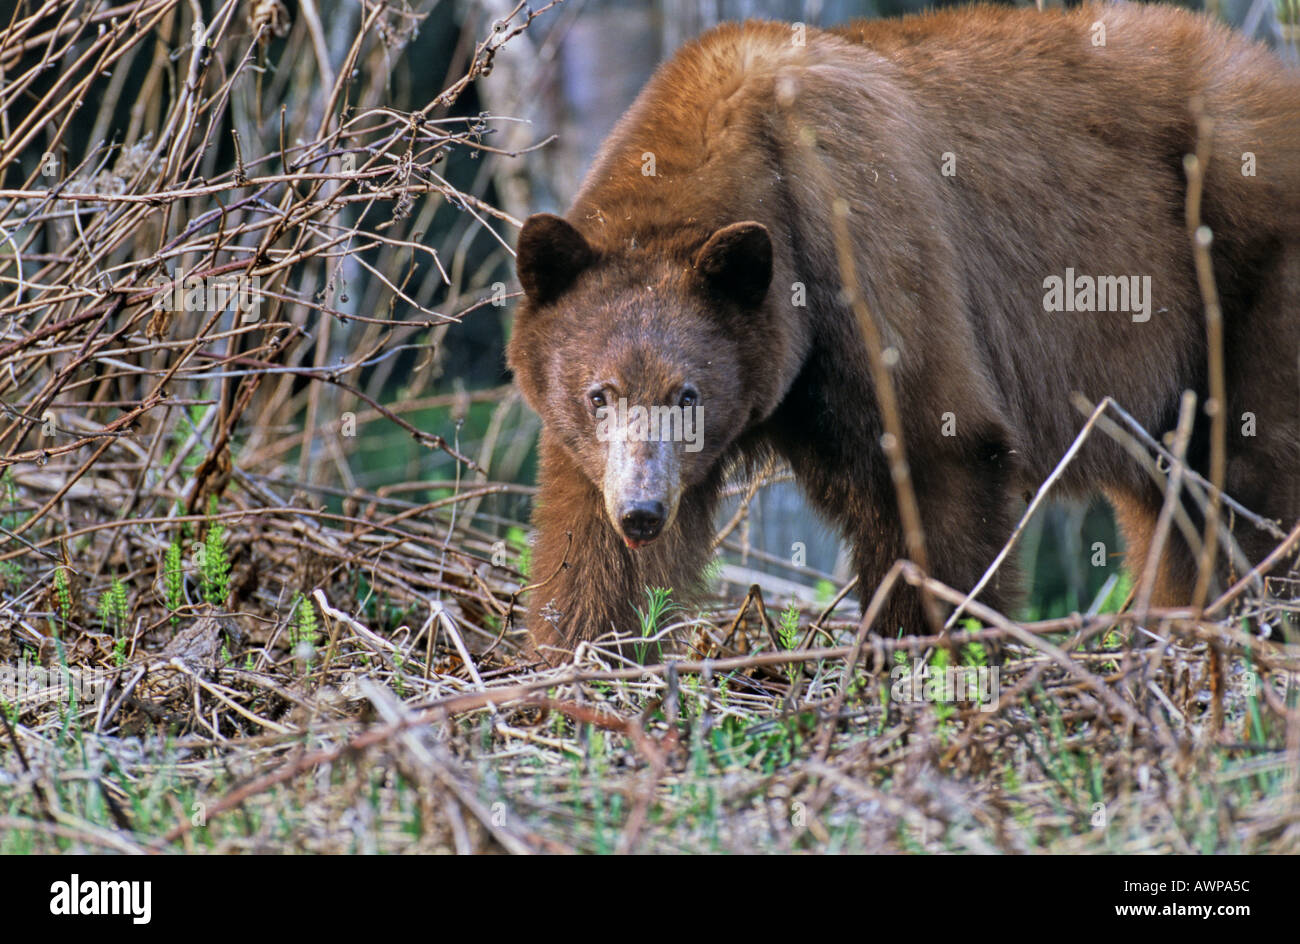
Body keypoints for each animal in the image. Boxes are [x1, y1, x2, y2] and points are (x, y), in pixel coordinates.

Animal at [504, 1, 1300, 665]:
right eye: (598, 395)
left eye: (688, 394)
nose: (642, 512)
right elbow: (586, 533)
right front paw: (575, 656)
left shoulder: (863, 237)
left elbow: (934, 448)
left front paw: (929, 654)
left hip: (1243, 259)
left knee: (1253, 471)